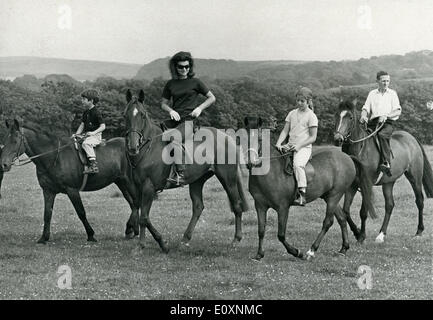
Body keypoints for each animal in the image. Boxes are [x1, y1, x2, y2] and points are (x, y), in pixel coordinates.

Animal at [0, 119, 138, 242]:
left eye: (15, 141)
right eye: (4, 140)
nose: (4, 164)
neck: (54, 157)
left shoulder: (72, 190)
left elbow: (81, 212)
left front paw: (91, 235)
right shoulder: (48, 191)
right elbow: (47, 214)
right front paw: (44, 238)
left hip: (129, 182)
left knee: (136, 203)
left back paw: (131, 228)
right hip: (121, 182)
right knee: (133, 204)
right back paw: (133, 230)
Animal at [123, 89, 248, 252]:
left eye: (143, 115)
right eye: (125, 115)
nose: (133, 146)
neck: (148, 148)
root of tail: (227, 137)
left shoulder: (148, 187)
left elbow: (144, 217)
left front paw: (149, 244)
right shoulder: (139, 188)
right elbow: (141, 214)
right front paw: (154, 243)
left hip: (228, 179)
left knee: (237, 205)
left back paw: (236, 239)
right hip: (197, 180)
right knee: (198, 207)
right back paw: (185, 238)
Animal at [243, 117, 374, 260]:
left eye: (260, 139)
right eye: (243, 138)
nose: (250, 162)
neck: (270, 172)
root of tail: (348, 157)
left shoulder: (283, 207)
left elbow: (281, 235)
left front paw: (296, 252)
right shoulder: (260, 205)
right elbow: (261, 230)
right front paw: (259, 254)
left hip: (335, 195)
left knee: (328, 222)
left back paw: (311, 250)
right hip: (328, 196)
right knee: (342, 218)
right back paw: (343, 248)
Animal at [332, 100, 430, 242]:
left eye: (350, 117)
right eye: (336, 115)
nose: (337, 139)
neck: (360, 148)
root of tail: (412, 138)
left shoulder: (366, 183)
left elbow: (363, 212)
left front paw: (361, 236)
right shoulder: (352, 185)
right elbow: (346, 211)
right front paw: (357, 232)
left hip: (415, 178)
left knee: (419, 201)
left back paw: (419, 231)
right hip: (389, 182)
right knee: (389, 205)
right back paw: (381, 234)